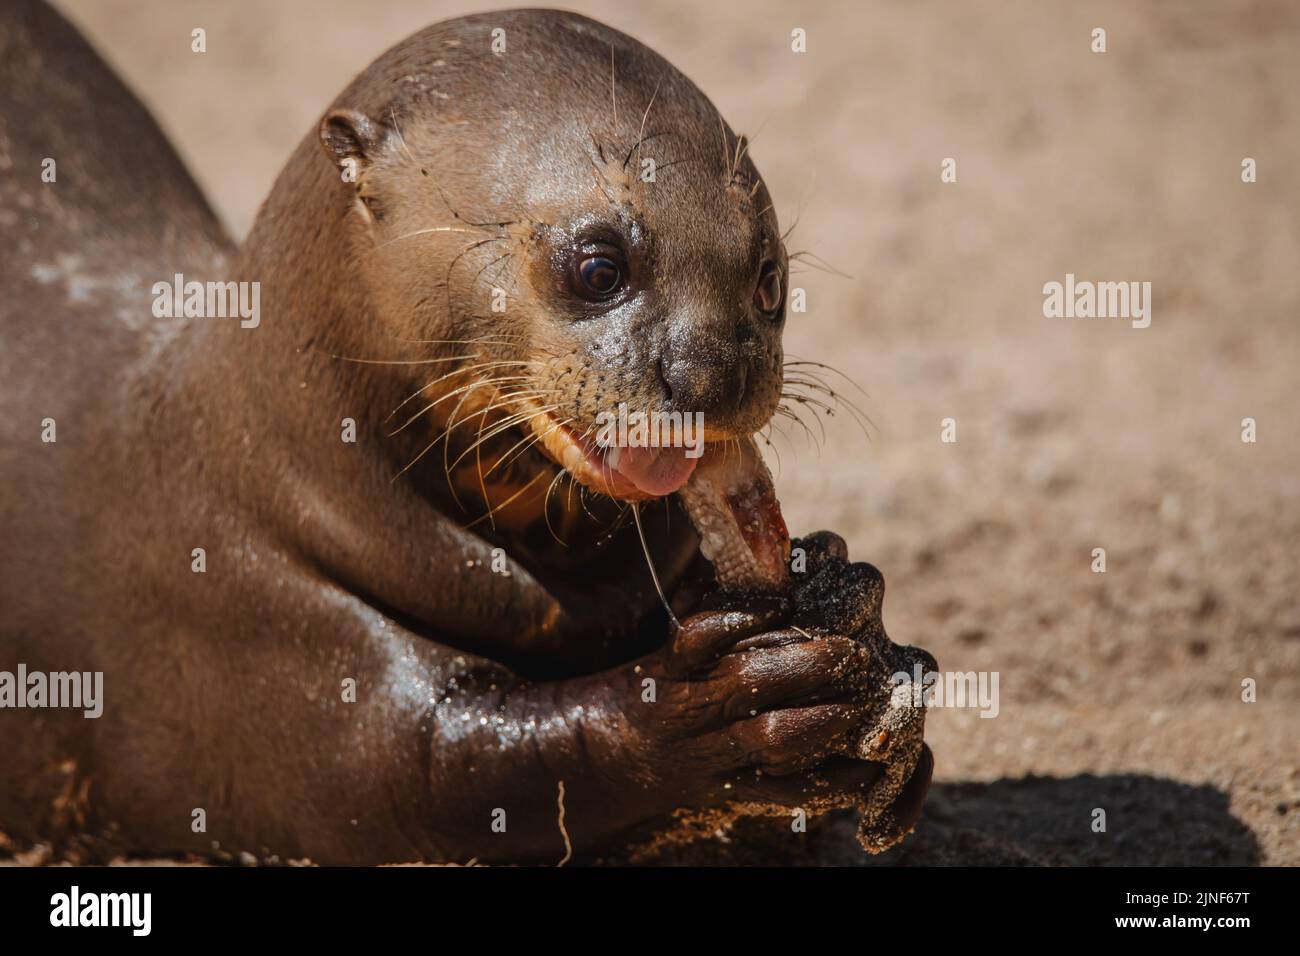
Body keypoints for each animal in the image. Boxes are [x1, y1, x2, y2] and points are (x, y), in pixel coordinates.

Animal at [0, 2, 930, 864]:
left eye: (770, 275)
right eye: (599, 267)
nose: (715, 375)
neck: (279, 472)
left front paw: (862, 623)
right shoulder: (247, 620)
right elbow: (440, 775)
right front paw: (727, 703)